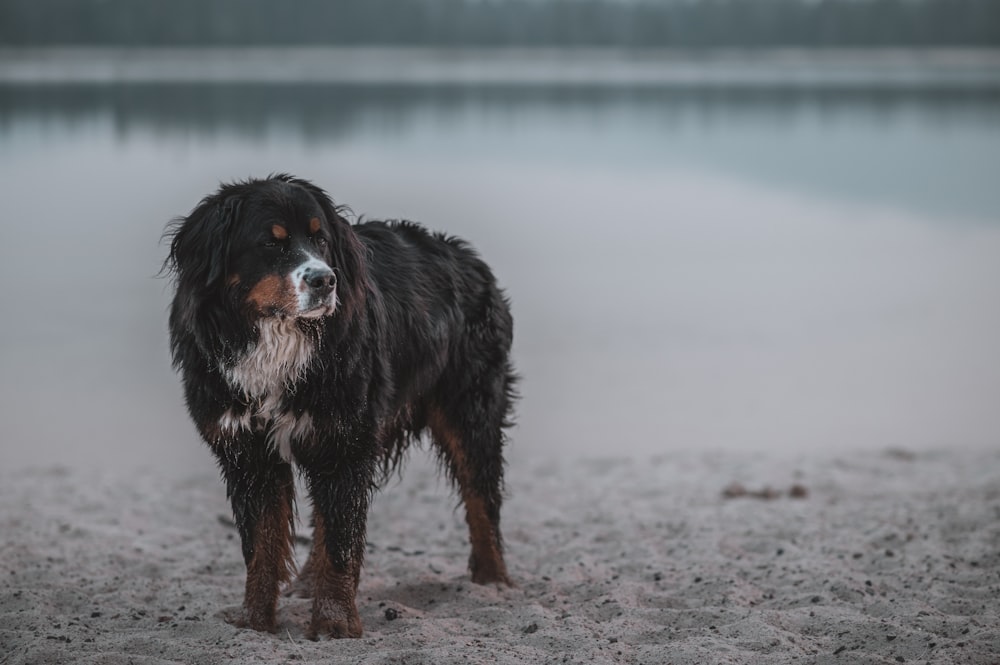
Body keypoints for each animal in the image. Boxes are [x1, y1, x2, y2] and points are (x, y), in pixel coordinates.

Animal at [163, 175, 516, 640]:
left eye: (321, 239)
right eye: (271, 242)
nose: (325, 280)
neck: (277, 344)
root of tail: (466, 255)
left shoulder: (344, 441)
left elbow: (341, 543)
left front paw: (334, 623)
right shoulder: (248, 452)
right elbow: (261, 547)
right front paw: (255, 622)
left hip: (470, 411)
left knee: (482, 500)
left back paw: (492, 584)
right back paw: (307, 582)